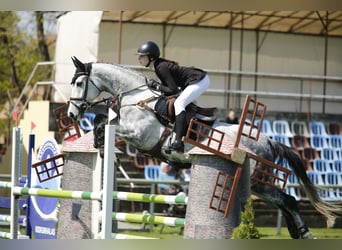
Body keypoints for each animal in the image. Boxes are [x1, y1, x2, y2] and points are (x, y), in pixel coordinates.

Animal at [67, 57, 342, 240]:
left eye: (79, 83)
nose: (70, 114)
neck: (136, 97)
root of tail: (269, 141)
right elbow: (102, 119)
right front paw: (99, 146)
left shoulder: (140, 136)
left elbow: (105, 124)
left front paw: (101, 144)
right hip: (257, 185)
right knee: (286, 201)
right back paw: (300, 232)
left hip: (257, 180)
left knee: (288, 199)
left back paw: (304, 233)